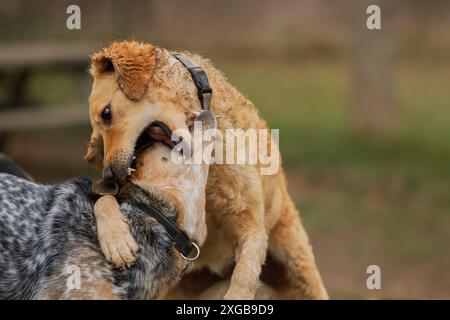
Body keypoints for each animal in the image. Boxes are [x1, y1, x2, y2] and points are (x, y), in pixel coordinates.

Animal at [86, 40, 328, 300]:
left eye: (106, 114)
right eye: (98, 143)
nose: (109, 177)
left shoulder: (251, 227)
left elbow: (243, 277)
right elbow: (104, 201)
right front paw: (117, 242)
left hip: (300, 266)